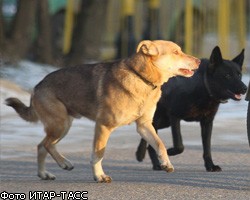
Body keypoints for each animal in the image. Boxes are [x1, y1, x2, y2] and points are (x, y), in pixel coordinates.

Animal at [4, 40, 200, 183]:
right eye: (176, 52)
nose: (199, 61)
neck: (141, 77)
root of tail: (36, 87)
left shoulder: (144, 126)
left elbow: (160, 144)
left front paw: (166, 164)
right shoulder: (104, 125)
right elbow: (98, 153)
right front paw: (99, 176)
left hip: (63, 125)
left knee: (42, 146)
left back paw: (45, 173)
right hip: (60, 124)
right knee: (45, 144)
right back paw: (64, 163)